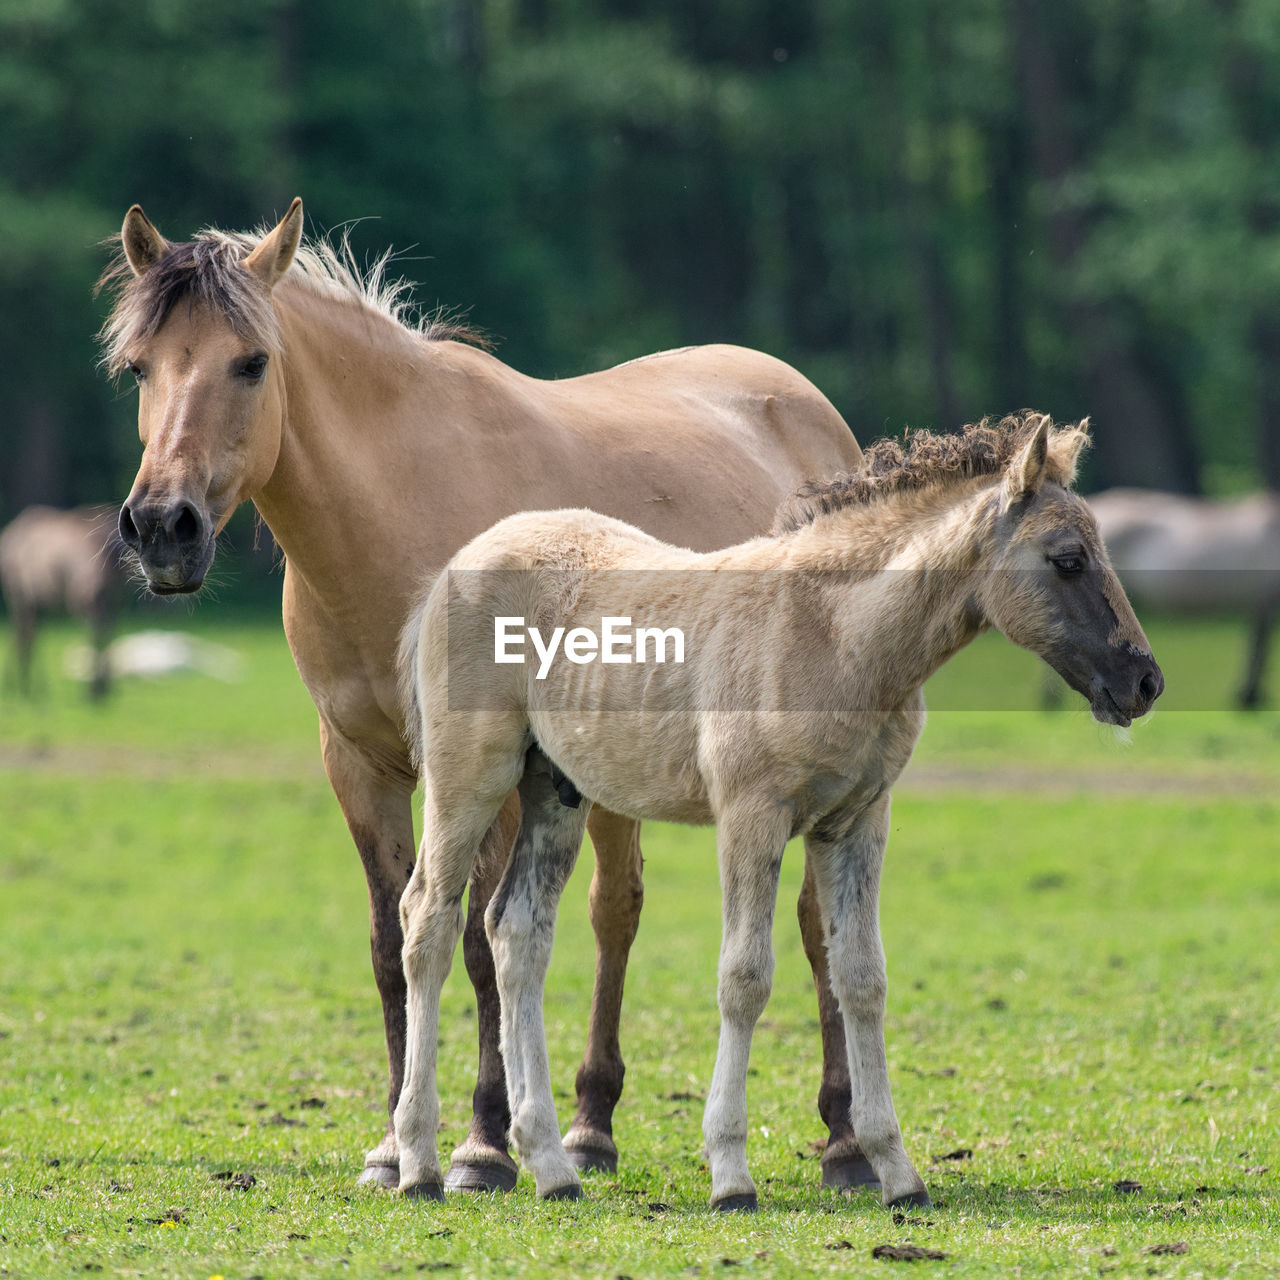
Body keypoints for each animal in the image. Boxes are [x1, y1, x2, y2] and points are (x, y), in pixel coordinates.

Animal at [0, 504, 123, 701]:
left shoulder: (110, 599)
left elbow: (105, 632)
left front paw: (102, 688)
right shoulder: (83, 598)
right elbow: (97, 633)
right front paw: (95, 688)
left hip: (35, 601)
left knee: (28, 634)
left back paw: (28, 686)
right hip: (20, 595)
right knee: (25, 634)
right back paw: (24, 687)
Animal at [396, 412, 1162, 1208]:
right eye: (1069, 559)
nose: (1144, 681)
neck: (834, 639)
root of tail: (454, 566)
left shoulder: (857, 822)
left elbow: (861, 977)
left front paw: (897, 1172)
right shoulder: (749, 814)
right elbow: (745, 977)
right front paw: (731, 1174)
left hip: (554, 789)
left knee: (518, 933)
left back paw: (551, 1167)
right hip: (469, 779)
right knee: (428, 920)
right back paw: (418, 1163)